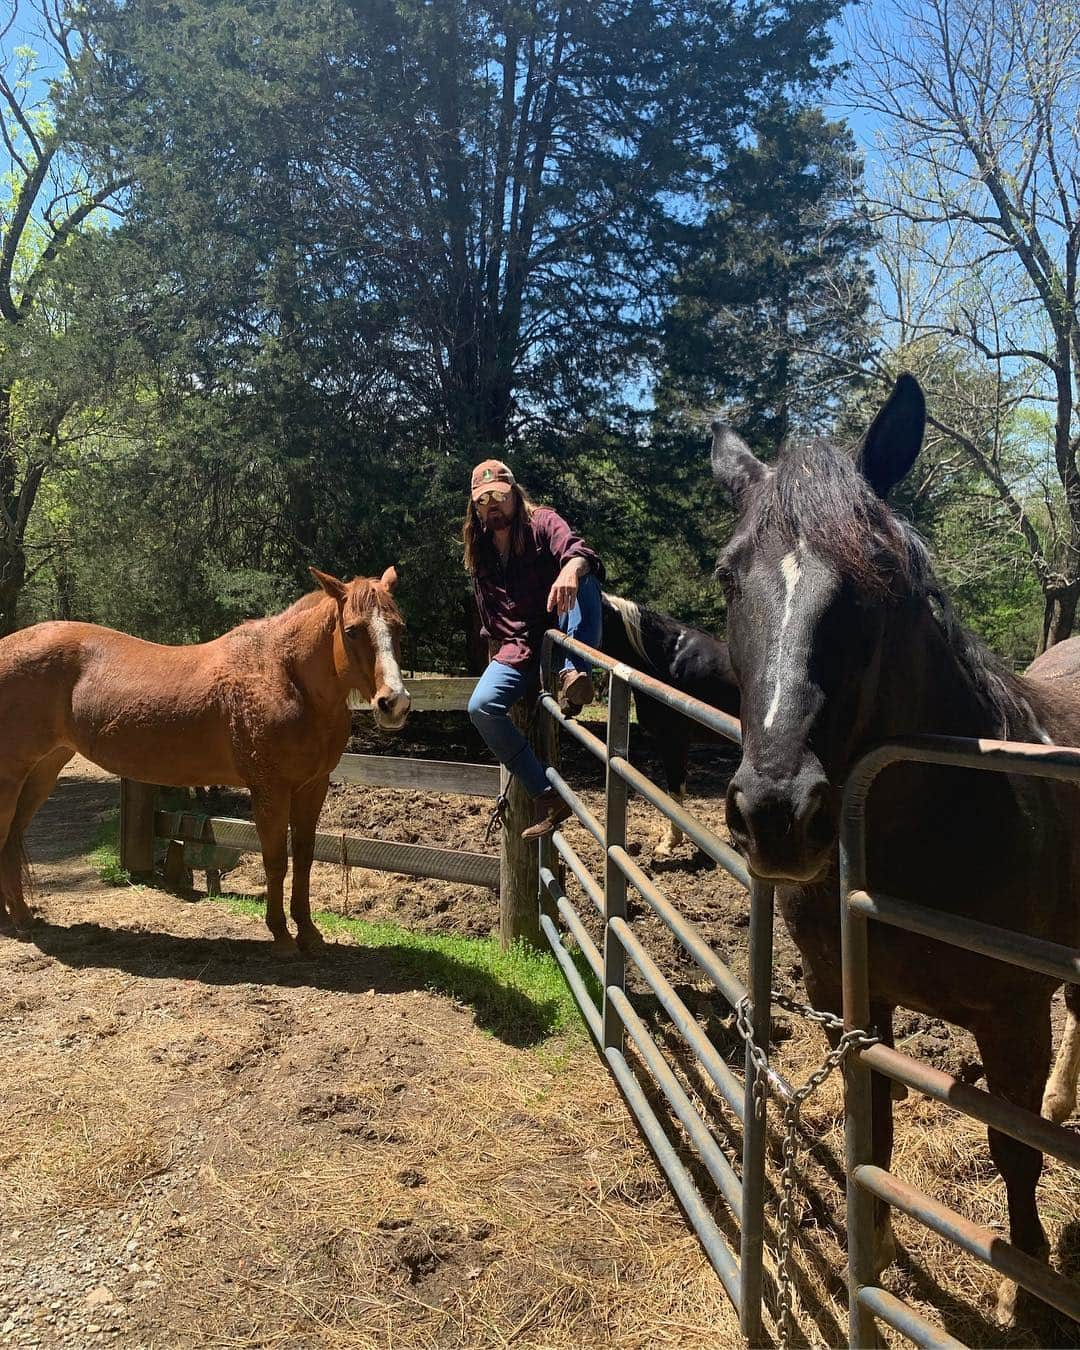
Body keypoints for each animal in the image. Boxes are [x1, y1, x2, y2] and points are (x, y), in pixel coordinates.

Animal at [0, 564, 410, 955]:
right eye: (352, 630)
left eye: (398, 627)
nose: (394, 702)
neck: (283, 675)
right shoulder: (270, 790)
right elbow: (275, 860)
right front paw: (280, 936)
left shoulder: (312, 787)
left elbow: (305, 858)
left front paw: (309, 934)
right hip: (12, 776)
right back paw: (15, 921)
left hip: (43, 771)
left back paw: (19, 917)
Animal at [707, 378, 1080, 1328]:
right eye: (728, 575)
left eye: (879, 576)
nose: (776, 813)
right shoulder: (850, 996)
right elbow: (868, 1125)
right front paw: (867, 1250)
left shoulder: (1011, 1014)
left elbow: (1013, 1147)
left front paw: (1022, 1281)